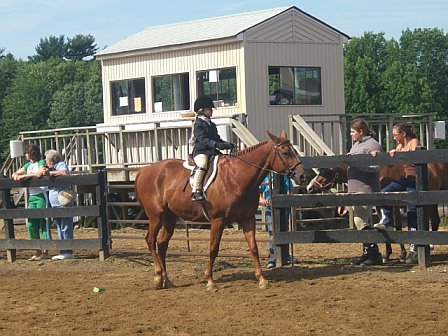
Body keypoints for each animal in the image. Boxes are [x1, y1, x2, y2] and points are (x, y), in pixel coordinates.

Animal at [135, 131, 306, 292]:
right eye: (285, 153)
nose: (302, 175)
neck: (236, 177)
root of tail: (144, 171)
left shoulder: (248, 219)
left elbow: (254, 248)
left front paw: (262, 280)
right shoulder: (218, 220)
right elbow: (213, 249)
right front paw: (210, 281)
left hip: (170, 218)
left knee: (162, 244)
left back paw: (166, 280)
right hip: (156, 217)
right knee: (150, 240)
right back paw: (158, 277)